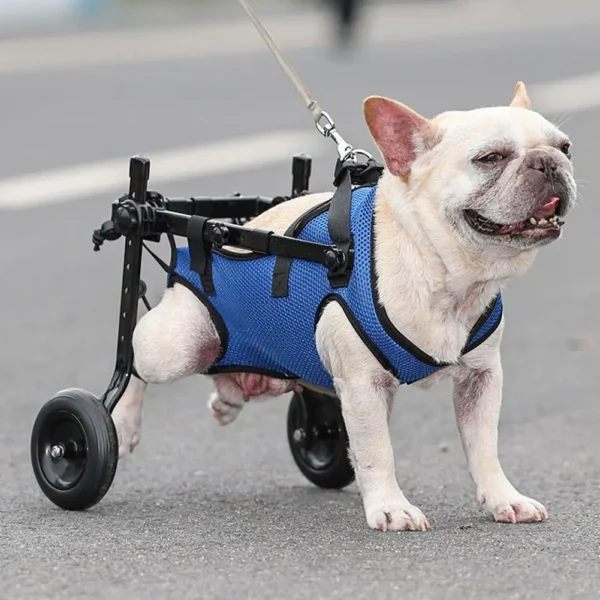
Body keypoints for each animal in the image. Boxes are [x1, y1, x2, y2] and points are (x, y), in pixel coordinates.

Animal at [111, 82, 576, 532]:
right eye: (490, 158)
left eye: (565, 146)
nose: (548, 162)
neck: (446, 276)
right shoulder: (364, 385)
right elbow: (377, 450)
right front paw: (391, 508)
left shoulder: (481, 379)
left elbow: (484, 446)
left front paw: (504, 499)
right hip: (177, 346)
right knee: (134, 359)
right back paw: (123, 423)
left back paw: (230, 400)